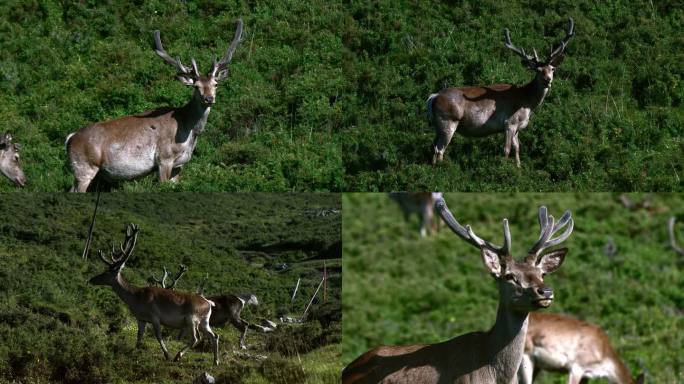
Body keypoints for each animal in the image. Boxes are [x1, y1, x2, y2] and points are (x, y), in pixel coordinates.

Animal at [65, 19, 246, 192]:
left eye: (215, 84)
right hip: (85, 167)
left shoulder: (180, 164)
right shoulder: (164, 158)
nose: (209, 98)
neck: (188, 131)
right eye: (196, 86)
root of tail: (70, 139)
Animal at [88, 224, 220, 364]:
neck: (136, 298)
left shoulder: (155, 316)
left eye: (106, 272)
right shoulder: (141, 318)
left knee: (196, 338)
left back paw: (178, 356)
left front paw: (167, 355)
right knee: (215, 335)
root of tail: (209, 303)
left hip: (192, 318)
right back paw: (215, 361)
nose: (91, 279)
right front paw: (135, 351)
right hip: (204, 321)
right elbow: (139, 337)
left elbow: (158, 335)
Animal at [430, 18, 576, 166]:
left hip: (438, 126)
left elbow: (517, 148)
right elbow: (506, 150)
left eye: (552, 69)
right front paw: (503, 168)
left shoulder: (517, 127)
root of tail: (433, 97)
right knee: (439, 149)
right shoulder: (509, 122)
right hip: (448, 121)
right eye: (538, 70)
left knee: (434, 146)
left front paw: (518, 168)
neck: (527, 102)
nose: (547, 80)